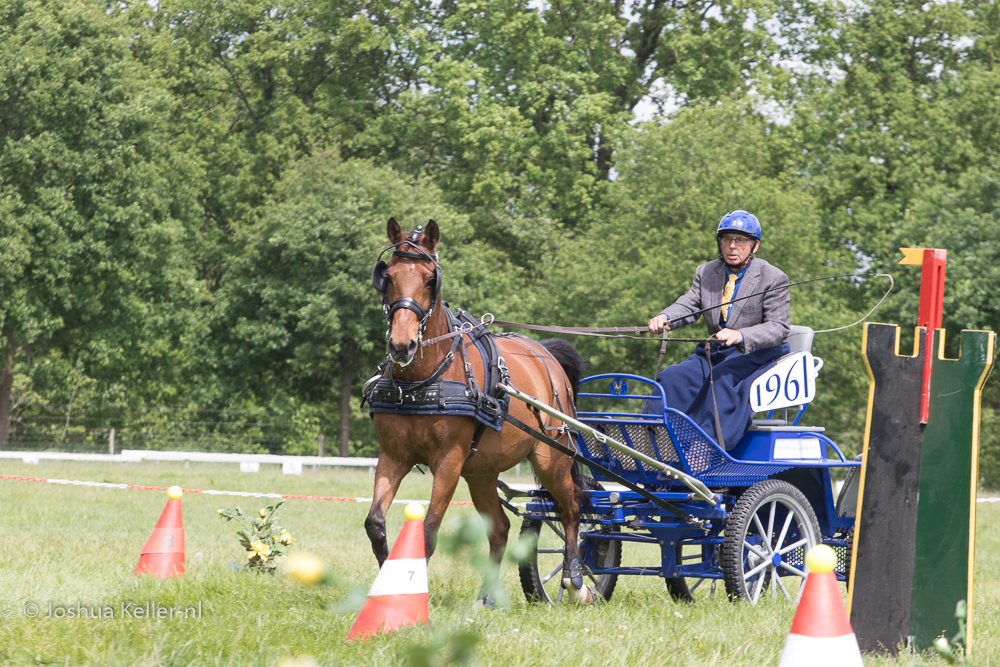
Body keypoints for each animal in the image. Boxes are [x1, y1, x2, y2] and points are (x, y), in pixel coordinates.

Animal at [364, 219, 592, 604]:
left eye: (430, 279)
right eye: (389, 276)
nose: (401, 345)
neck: (423, 380)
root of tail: (546, 356)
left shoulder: (449, 461)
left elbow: (428, 531)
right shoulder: (393, 456)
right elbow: (376, 524)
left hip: (552, 459)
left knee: (572, 509)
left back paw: (574, 581)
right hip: (481, 472)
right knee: (500, 528)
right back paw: (487, 598)